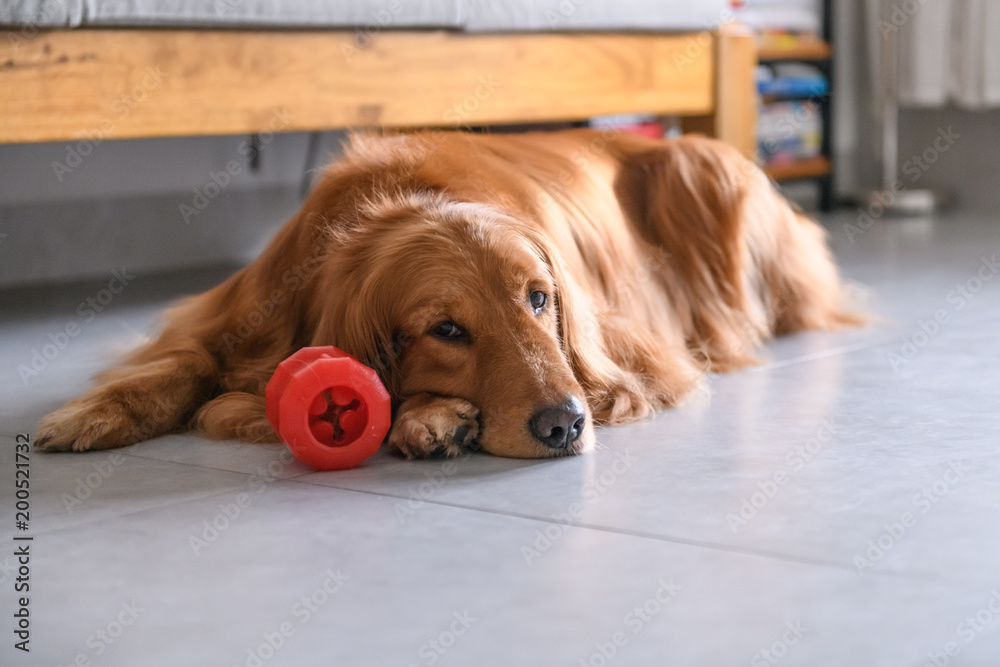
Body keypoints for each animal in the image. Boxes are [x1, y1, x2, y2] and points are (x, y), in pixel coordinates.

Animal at [33, 129, 860, 462]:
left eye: (539, 299)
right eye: (447, 330)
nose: (565, 425)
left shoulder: (634, 355)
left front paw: (429, 417)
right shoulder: (235, 312)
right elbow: (180, 362)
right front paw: (93, 412)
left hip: (703, 165)